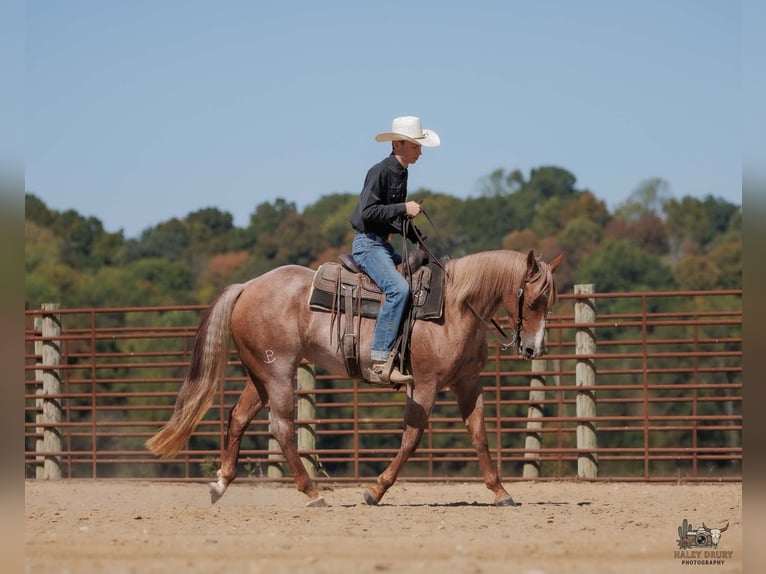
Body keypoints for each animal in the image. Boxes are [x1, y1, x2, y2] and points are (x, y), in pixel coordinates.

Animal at [146, 248, 565, 507]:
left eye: (551, 301)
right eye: (533, 300)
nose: (534, 349)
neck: (454, 306)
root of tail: (247, 286)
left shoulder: (468, 385)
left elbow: (479, 435)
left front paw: (500, 490)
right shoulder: (424, 386)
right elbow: (411, 440)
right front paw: (375, 490)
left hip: (259, 374)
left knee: (238, 417)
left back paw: (220, 484)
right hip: (278, 373)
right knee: (281, 427)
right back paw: (313, 493)